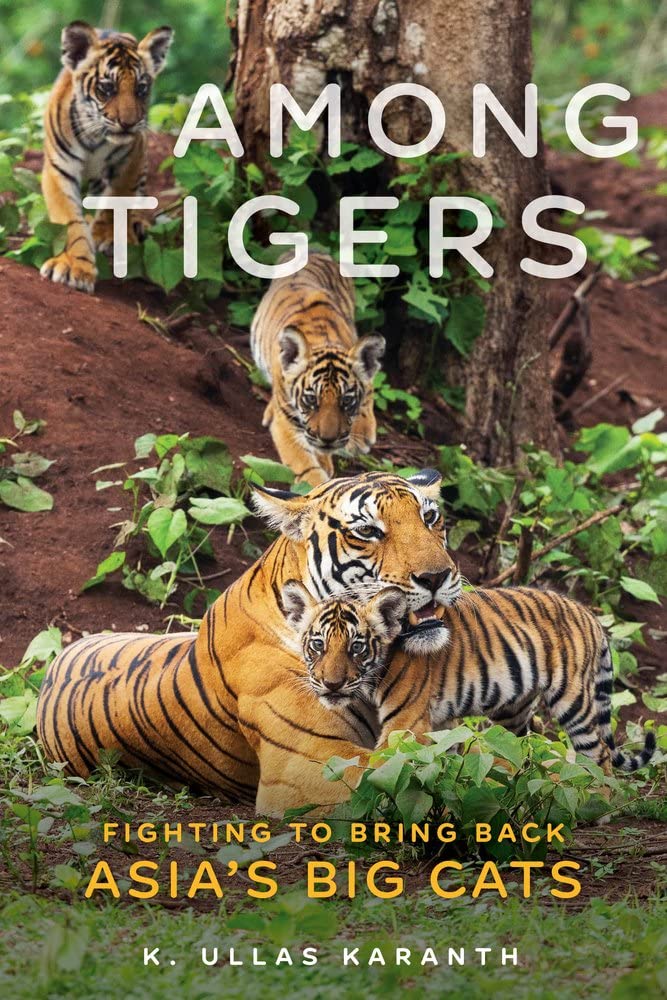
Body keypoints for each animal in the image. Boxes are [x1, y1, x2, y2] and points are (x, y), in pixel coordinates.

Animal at [39, 21, 173, 293]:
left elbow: (118, 199)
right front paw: (74, 266)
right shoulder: (59, 169)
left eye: (141, 89)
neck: (96, 137)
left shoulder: (132, 157)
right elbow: (70, 221)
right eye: (106, 88)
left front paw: (109, 236)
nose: (129, 123)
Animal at [250, 252, 386, 484]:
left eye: (346, 401)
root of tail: (314, 250)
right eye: (311, 399)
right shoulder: (286, 423)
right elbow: (306, 466)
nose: (328, 439)